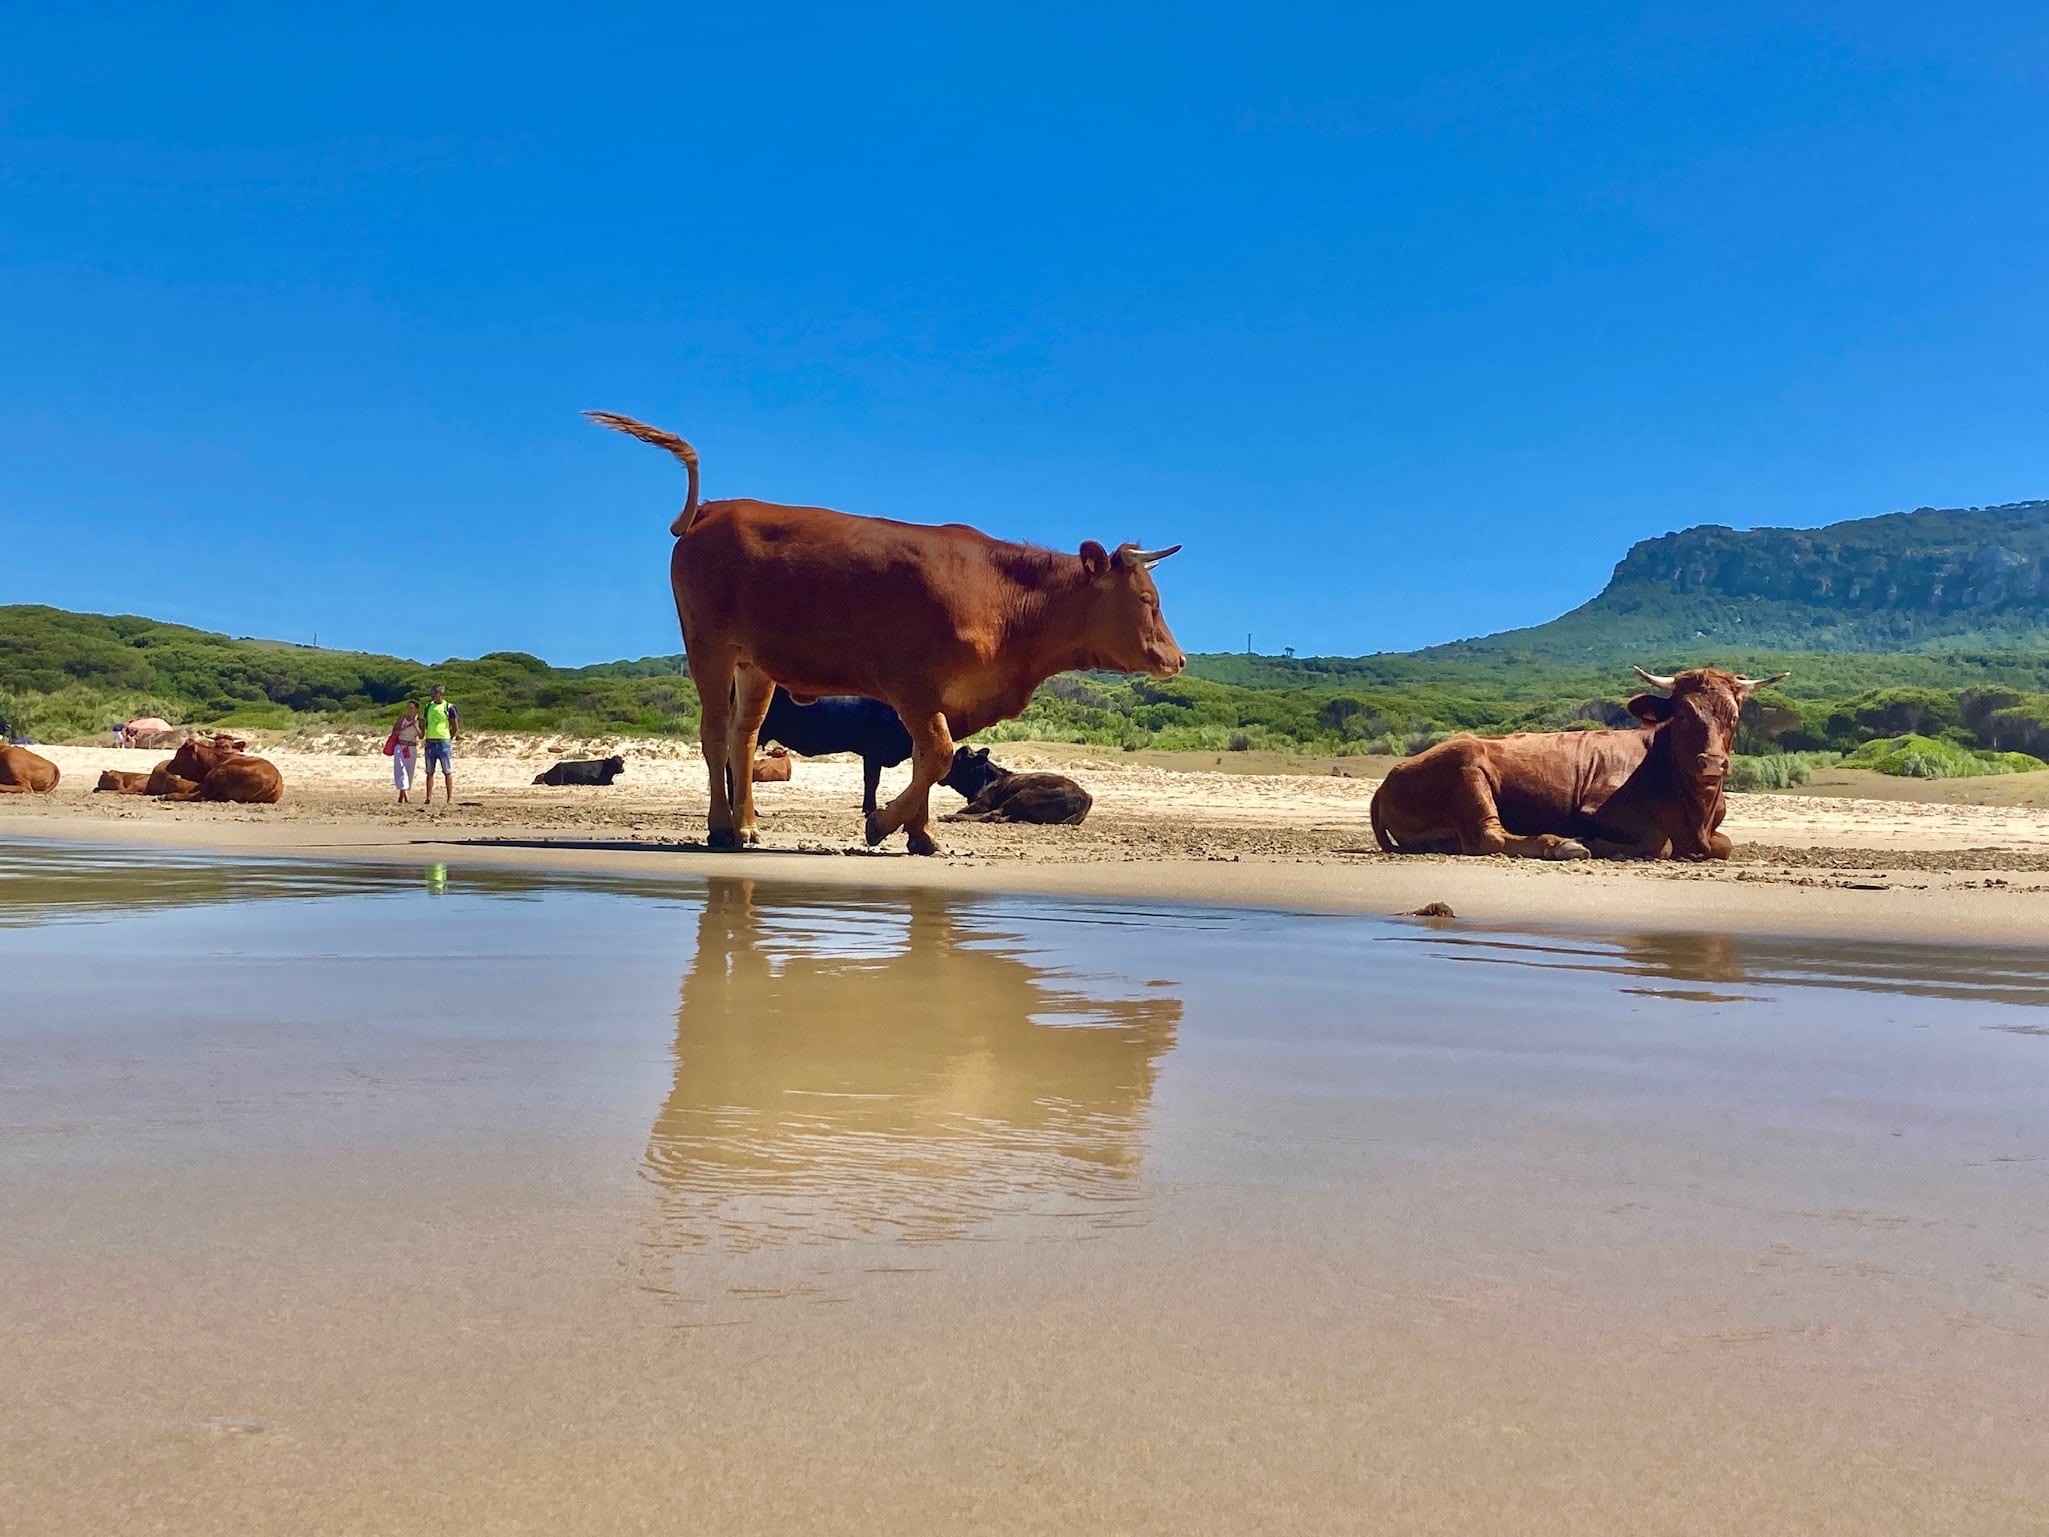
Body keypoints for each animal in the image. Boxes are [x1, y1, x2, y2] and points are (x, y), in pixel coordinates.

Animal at [940, 746, 1093, 826]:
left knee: (992, 814)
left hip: (1023, 795)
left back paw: (948, 816)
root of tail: (1084, 796)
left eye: (957, 759)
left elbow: (963, 810)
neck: (986, 781)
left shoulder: (982, 804)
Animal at [1369, 667, 1787, 861]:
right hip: (1467, 769)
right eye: (1684, 714)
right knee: (1489, 836)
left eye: (1734, 716)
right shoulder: (1596, 809)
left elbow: (1725, 844)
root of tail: (1388, 778)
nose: (1712, 763)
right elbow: (1660, 841)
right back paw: (1563, 844)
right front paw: (1593, 842)